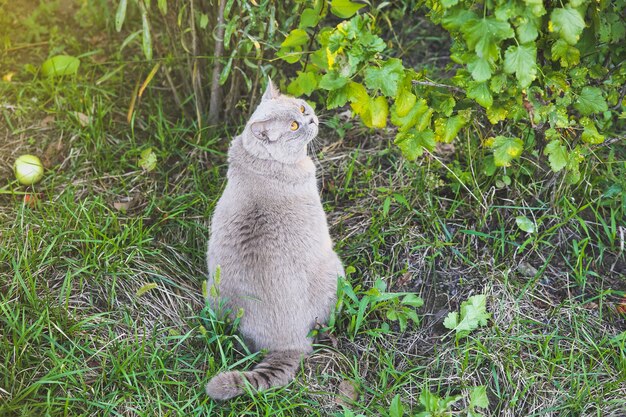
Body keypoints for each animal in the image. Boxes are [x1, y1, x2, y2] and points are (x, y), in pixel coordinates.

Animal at [204, 79, 342, 400]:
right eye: (293, 126)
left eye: (301, 109)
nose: (311, 119)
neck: (256, 160)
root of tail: (287, 344)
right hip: (335, 267)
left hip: (213, 292)